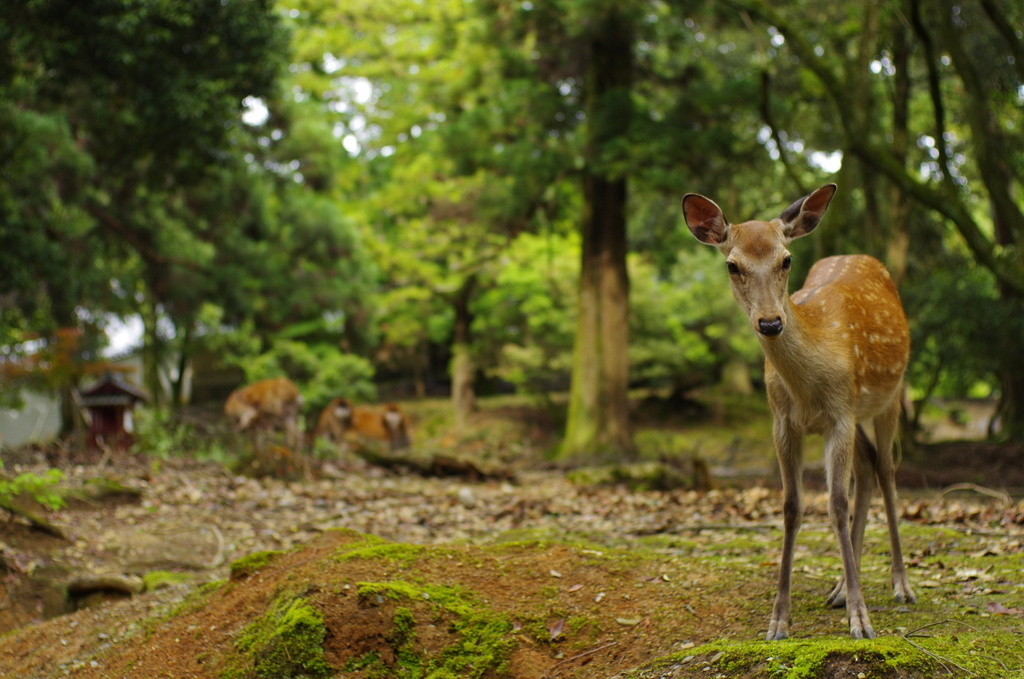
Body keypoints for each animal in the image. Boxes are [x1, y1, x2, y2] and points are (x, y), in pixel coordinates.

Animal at [684, 184, 917, 643]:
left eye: (786, 259)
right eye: (732, 265)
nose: (770, 322)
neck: (807, 386)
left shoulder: (841, 413)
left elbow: (836, 504)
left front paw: (861, 621)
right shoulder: (783, 422)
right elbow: (792, 506)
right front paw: (779, 620)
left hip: (890, 397)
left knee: (886, 470)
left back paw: (900, 584)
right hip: (858, 415)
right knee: (867, 468)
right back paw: (842, 587)